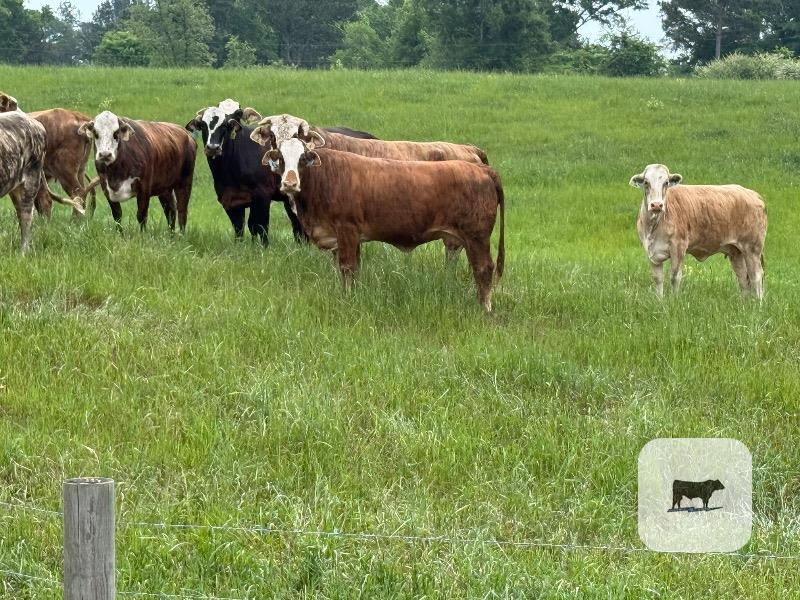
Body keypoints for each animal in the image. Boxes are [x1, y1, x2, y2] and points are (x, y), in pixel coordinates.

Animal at [186, 100, 378, 245]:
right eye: (203, 125)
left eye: (229, 122)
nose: (213, 147)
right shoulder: (230, 201)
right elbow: (240, 228)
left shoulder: (262, 197)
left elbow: (259, 226)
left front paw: (262, 249)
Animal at [263, 137, 505, 311]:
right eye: (281, 158)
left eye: (303, 158)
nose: (289, 183)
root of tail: (482, 170)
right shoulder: (348, 237)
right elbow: (352, 269)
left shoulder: (346, 229)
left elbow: (347, 267)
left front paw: (348, 299)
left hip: (477, 237)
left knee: (484, 269)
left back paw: (485, 308)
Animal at [630, 164, 767, 300]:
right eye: (646, 182)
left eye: (666, 182)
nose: (657, 205)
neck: (654, 226)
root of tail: (752, 194)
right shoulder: (651, 251)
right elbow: (657, 278)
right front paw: (660, 301)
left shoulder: (678, 247)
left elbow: (675, 276)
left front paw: (674, 300)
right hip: (736, 252)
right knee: (743, 278)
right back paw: (745, 303)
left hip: (752, 248)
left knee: (756, 276)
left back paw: (758, 303)